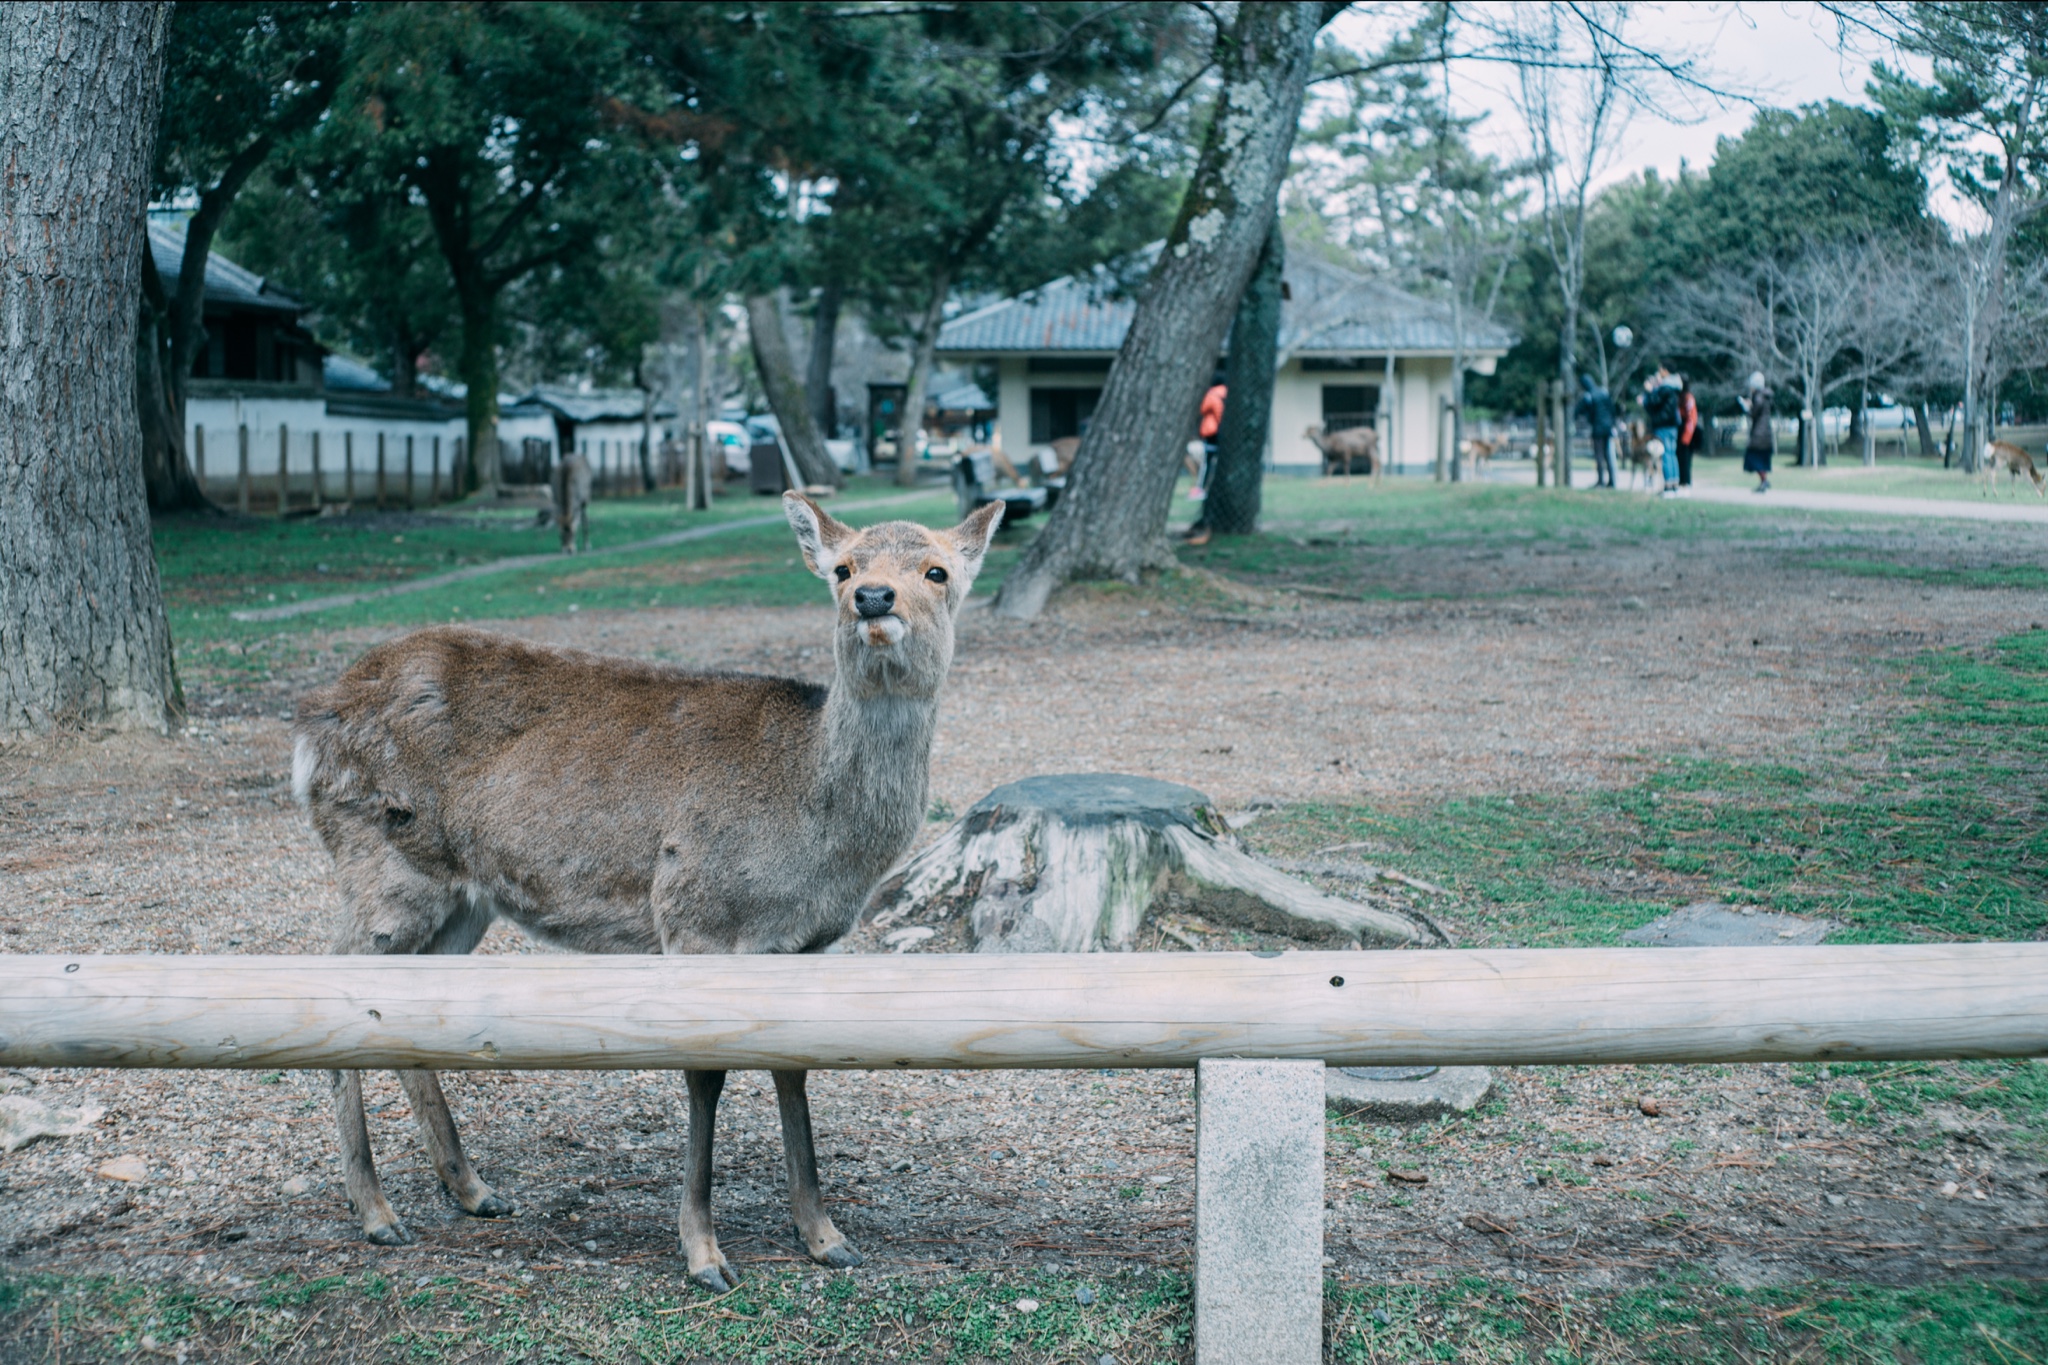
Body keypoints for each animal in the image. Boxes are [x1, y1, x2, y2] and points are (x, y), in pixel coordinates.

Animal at [292, 489, 1011, 1293]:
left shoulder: (804, 944)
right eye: (842, 567)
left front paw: (826, 1236)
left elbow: (793, 1066)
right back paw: (376, 1211)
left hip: (458, 898)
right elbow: (705, 1074)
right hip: (382, 863)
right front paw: (704, 1254)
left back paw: (473, 1189)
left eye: (938, 570)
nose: (874, 597)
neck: (812, 824)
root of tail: (312, 719)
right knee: (337, 983)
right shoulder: (696, 913)